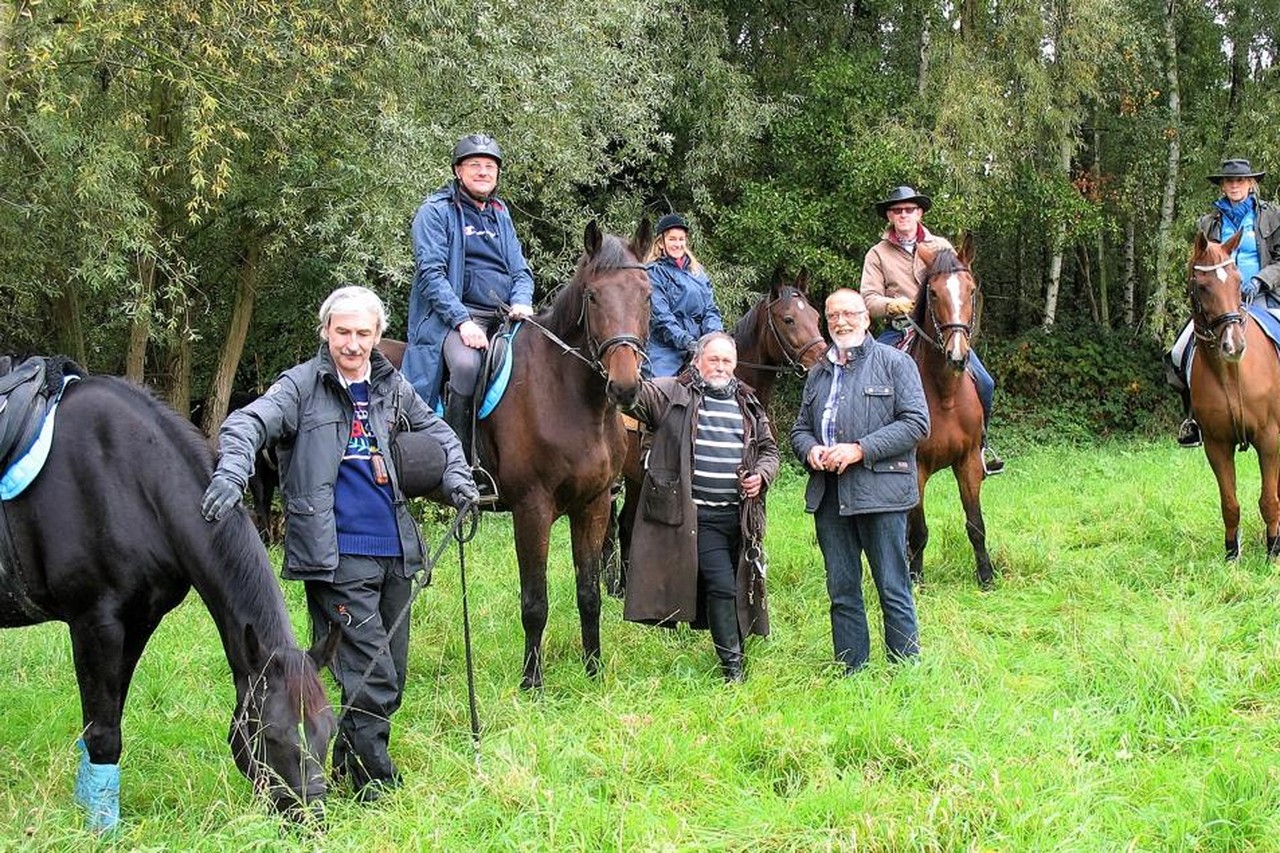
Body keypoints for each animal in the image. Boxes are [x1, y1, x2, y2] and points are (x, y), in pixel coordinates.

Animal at [0, 363, 337, 824]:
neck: (127, 477)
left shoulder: (138, 622)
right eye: (270, 734)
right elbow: (103, 732)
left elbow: (105, 719)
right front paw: (101, 827)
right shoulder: (94, 622)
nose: (311, 818)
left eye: (330, 731)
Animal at [384, 220, 650, 691]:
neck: (569, 396)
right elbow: (535, 601)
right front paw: (532, 683)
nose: (624, 386)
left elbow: (589, 594)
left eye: (647, 294)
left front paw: (593, 670)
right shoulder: (532, 508)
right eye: (593, 296)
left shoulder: (594, 504)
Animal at [1182, 227, 1280, 558]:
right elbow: (1230, 504)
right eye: (1202, 287)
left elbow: (1269, 499)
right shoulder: (1217, 444)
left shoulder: (1269, 438)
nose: (1234, 345)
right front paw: (1231, 555)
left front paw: (1273, 551)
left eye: (1238, 282)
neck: (1230, 374)